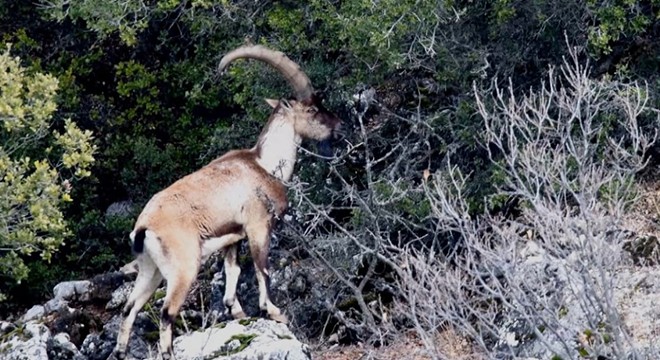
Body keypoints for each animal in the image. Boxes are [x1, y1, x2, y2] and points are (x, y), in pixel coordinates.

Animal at [111, 45, 342, 360]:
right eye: (312, 109)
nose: (339, 125)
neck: (264, 164)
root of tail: (144, 228)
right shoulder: (258, 226)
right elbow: (262, 269)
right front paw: (274, 312)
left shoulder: (232, 238)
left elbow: (233, 272)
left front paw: (238, 312)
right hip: (183, 268)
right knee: (166, 312)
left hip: (150, 270)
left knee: (129, 308)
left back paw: (121, 351)